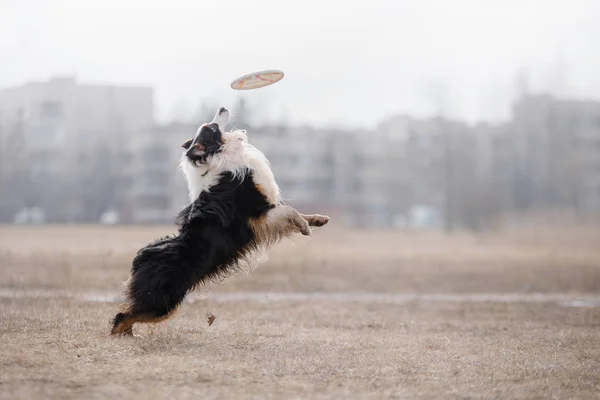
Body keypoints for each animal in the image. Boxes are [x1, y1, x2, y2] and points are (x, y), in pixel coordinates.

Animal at [110, 108, 330, 336]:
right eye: (212, 127)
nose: (223, 108)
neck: (221, 156)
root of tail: (140, 257)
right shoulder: (257, 215)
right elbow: (290, 211)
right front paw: (305, 228)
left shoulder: (266, 214)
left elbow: (297, 212)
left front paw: (318, 219)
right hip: (163, 300)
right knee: (122, 317)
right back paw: (127, 337)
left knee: (126, 314)